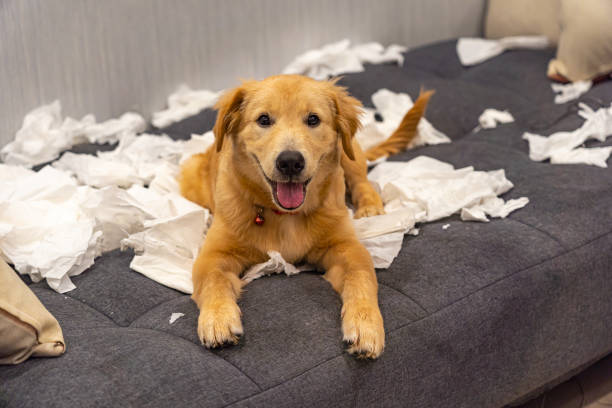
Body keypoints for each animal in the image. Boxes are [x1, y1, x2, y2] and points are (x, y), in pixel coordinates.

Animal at [179, 75, 432, 358]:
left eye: (313, 119)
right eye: (263, 119)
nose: (290, 162)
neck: (285, 216)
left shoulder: (347, 247)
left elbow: (362, 276)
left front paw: (365, 325)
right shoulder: (213, 254)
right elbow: (213, 281)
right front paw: (217, 319)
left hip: (349, 152)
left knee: (362, 181)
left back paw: (370, 207)